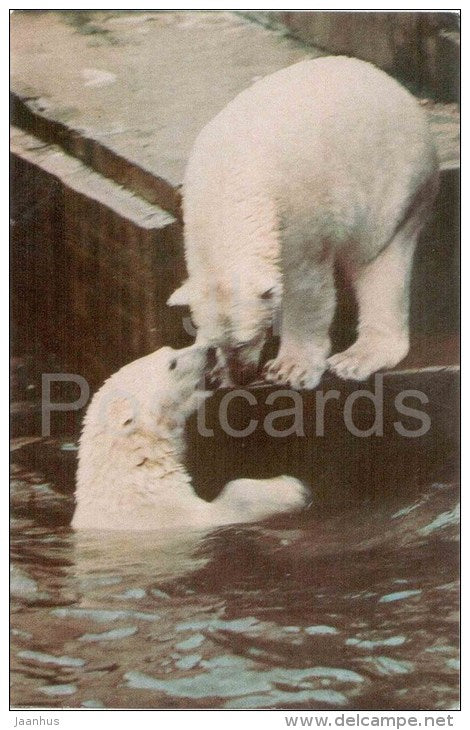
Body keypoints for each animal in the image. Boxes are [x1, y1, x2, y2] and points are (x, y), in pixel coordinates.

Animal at [73, 345, 309, 531]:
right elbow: (223, 507)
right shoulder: (169, 514)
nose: (211, 349)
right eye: (172, 364)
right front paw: (293, 488)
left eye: (169, 349)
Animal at [168, 56, 439, 389]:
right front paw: (217, 372)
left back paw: (355, 359)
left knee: (378, 263)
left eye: (246, 340)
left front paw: (289, 369)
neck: (230, 181)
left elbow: (306, 287)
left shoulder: (299, 212)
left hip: (393, 187)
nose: (241, 376)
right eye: (214, 343)